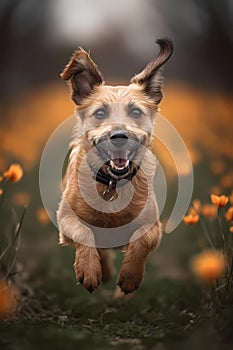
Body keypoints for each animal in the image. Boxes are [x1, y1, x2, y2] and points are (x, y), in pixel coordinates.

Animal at [56, 39, 173, 296]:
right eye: (100, 113)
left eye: (136, 112)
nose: (119, 137)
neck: (112, 184)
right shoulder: (65, 219)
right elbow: (85, 232)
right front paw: (89, 271)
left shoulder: (153, 227)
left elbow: (141, 240)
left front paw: (130, 277)